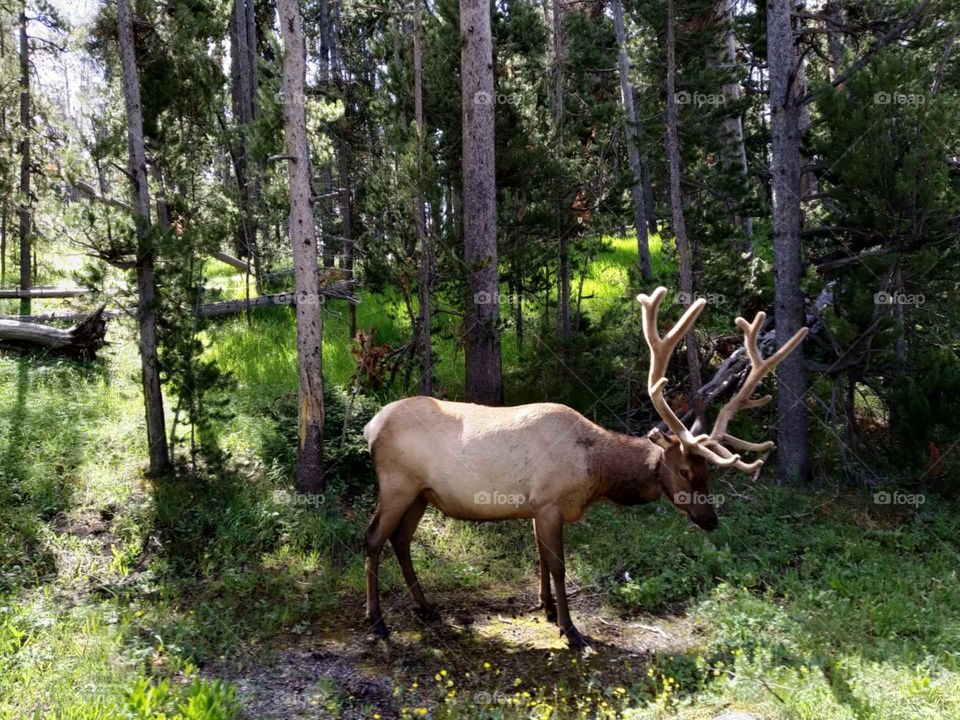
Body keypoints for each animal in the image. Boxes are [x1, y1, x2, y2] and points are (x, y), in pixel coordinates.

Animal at [362, 287, 808, 647]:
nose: (710, 519)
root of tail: (372, 426)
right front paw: (570, 629)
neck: (595, 473)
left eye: (707, 473)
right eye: (684, 471)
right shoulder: (550, 503)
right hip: (397, 484)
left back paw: (425, 606)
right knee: (373, 539)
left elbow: (542, 561)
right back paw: (377, 621)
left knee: (400, 541)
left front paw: (545, 609)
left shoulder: (536, 508)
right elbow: (559, 568)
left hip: (421, 493)